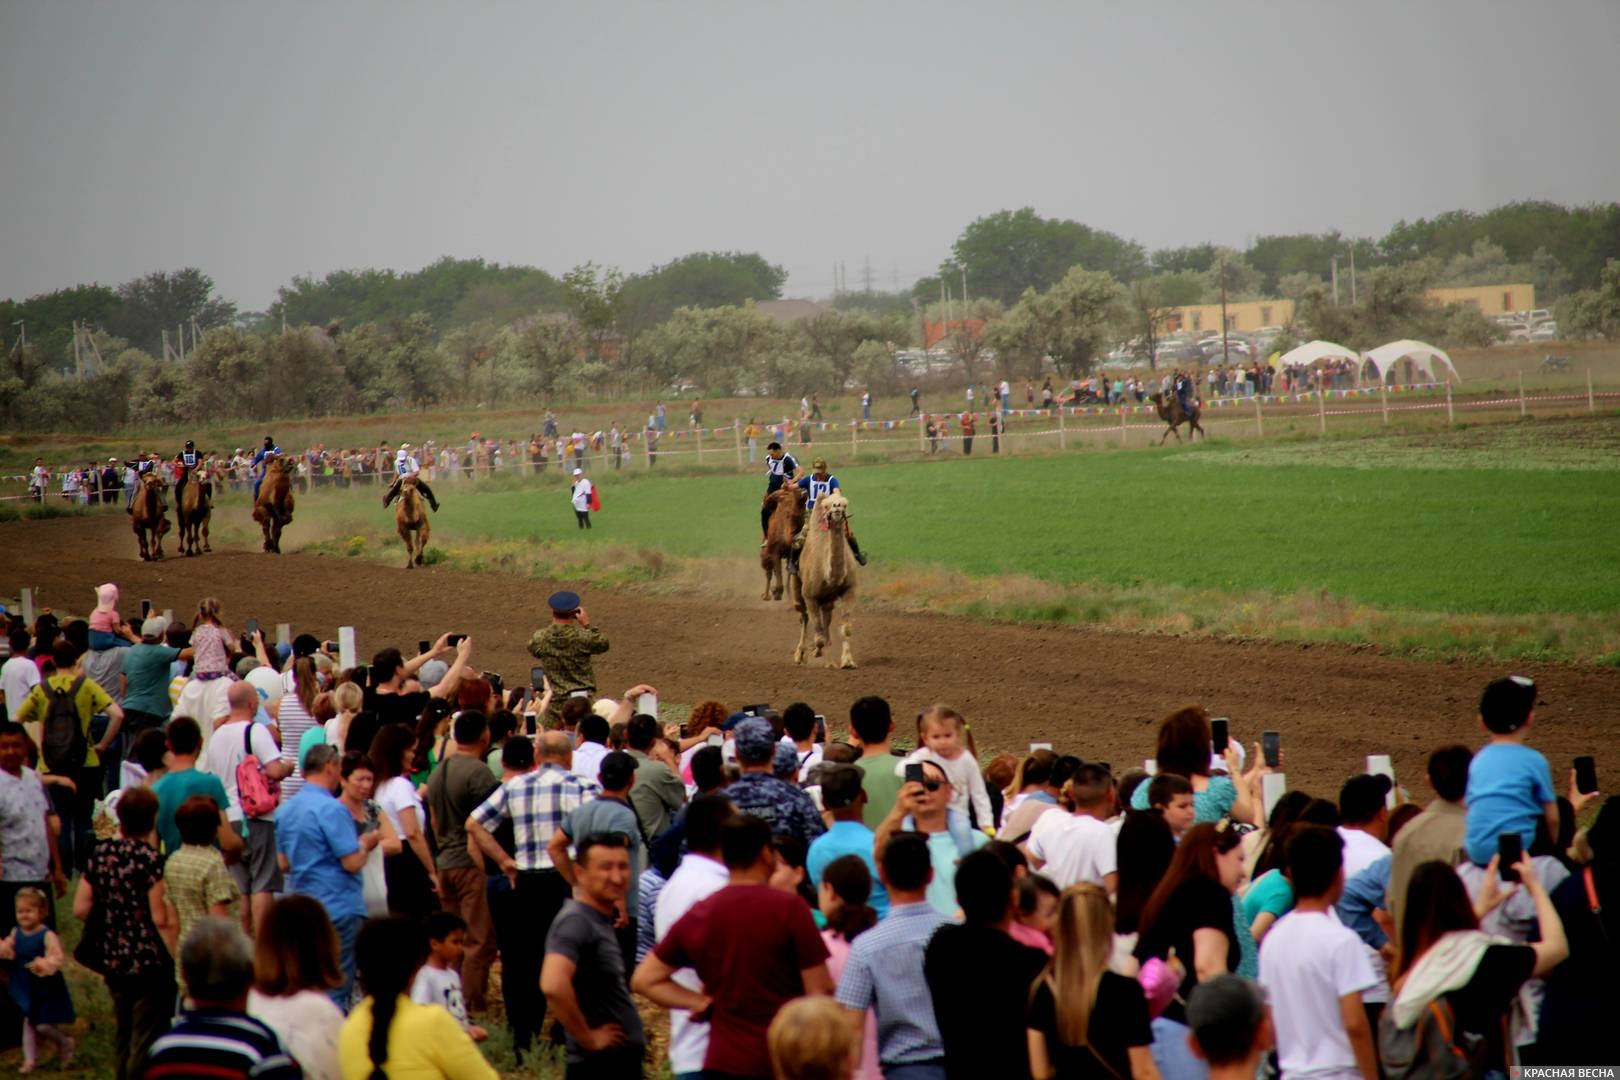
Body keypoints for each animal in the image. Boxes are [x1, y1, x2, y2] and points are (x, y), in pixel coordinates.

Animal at [787, 488, 855, 667]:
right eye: (827, 505)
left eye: (845, 503)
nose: (837, 507)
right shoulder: (810, 596)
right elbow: (818, 635)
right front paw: (816, 653)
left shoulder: (850, 590)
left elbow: (846, 629)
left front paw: (847, 661)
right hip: (797, 587)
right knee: (803, 616)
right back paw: (800, 654)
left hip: (827, 599)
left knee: (826, 618)